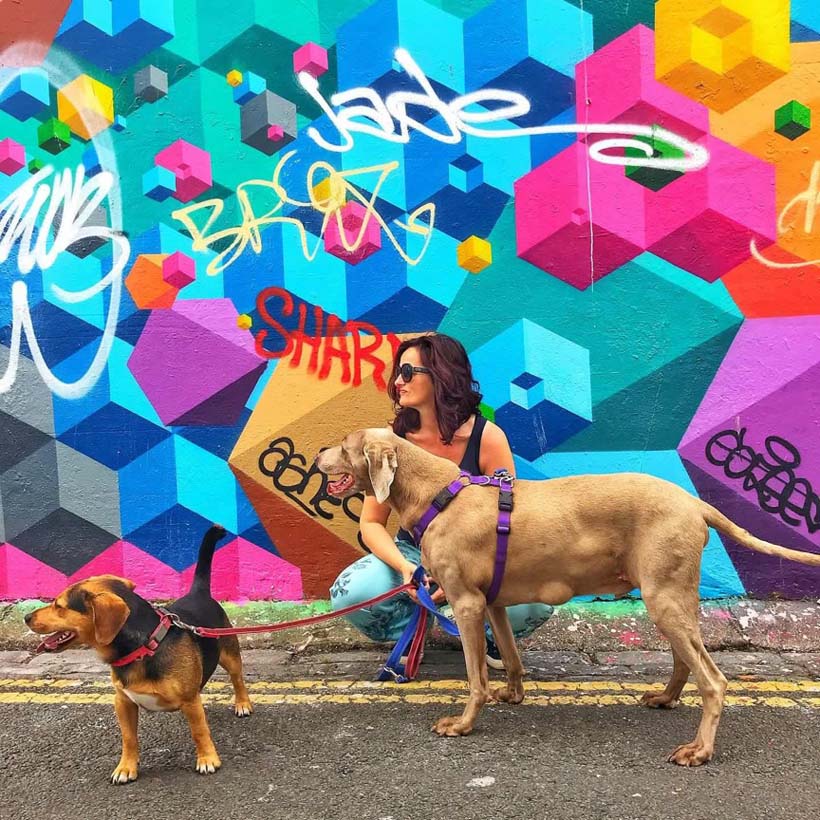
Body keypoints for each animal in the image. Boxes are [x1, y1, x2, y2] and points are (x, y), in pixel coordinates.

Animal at [26, 524, 250, 784]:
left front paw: (207, 758)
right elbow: (129, 738)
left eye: (59, 606)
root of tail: (198, 593)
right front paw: (126, 767)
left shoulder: (189, 701)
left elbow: (199, 732)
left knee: (237, 678)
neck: (143, 646)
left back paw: (243, 703)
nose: (26, 617)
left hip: (229, 654)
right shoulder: (122, 701)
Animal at [318, 430, 820, 768]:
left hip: (664, 597)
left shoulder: (465, 603)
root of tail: (694, 502)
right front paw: (513, 693)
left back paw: (700, 750)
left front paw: (463, 725)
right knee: (685, 660)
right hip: (671, 596)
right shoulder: (493, 603)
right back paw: (665, 697)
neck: (439, 493)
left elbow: (475, 678)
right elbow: (511, 657)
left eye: (343, 444)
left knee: (713, 680)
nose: (319, 452)